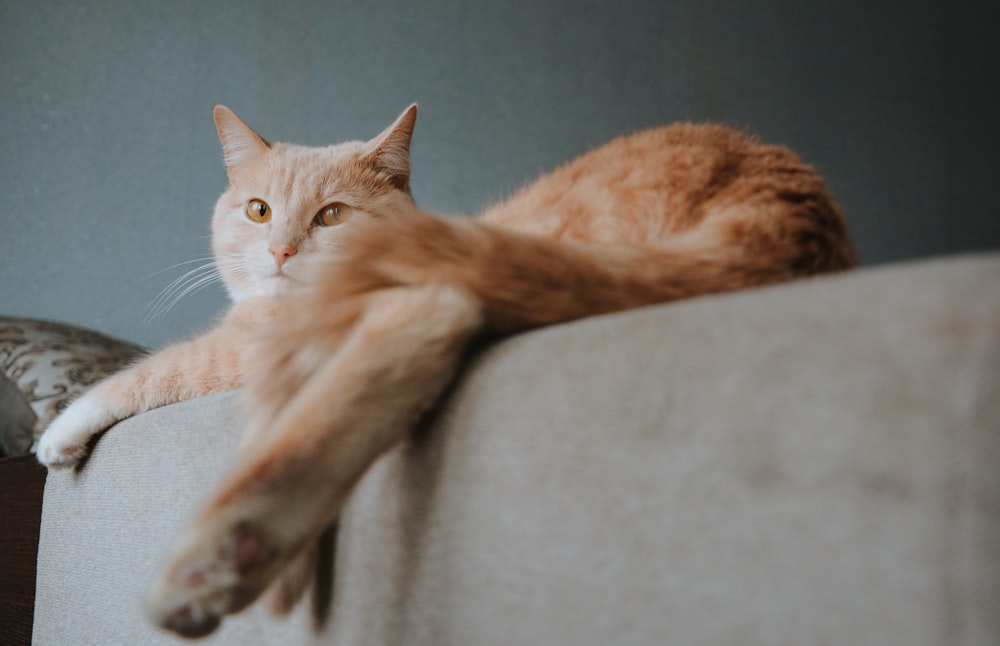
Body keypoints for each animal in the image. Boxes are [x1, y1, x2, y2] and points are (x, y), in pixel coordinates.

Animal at [39, 104, 852, 636]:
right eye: (260, 210)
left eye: (332, 216)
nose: (282, 253)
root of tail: (785, 203)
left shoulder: (255, 339)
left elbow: (154, 370)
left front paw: (62, 429)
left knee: (428, 323)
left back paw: (223, 557)